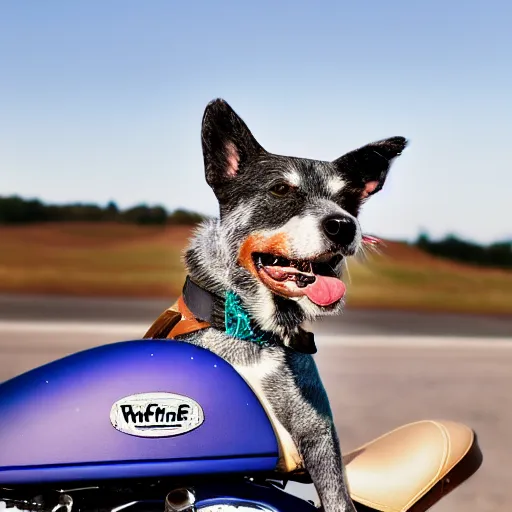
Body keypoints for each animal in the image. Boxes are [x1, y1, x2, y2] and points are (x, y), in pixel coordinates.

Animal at [144, 100, 408, 512]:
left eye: (349, 200)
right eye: (282, 189)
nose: (344, 225)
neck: (258, 331)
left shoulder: (318, 436)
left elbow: (337, 496)